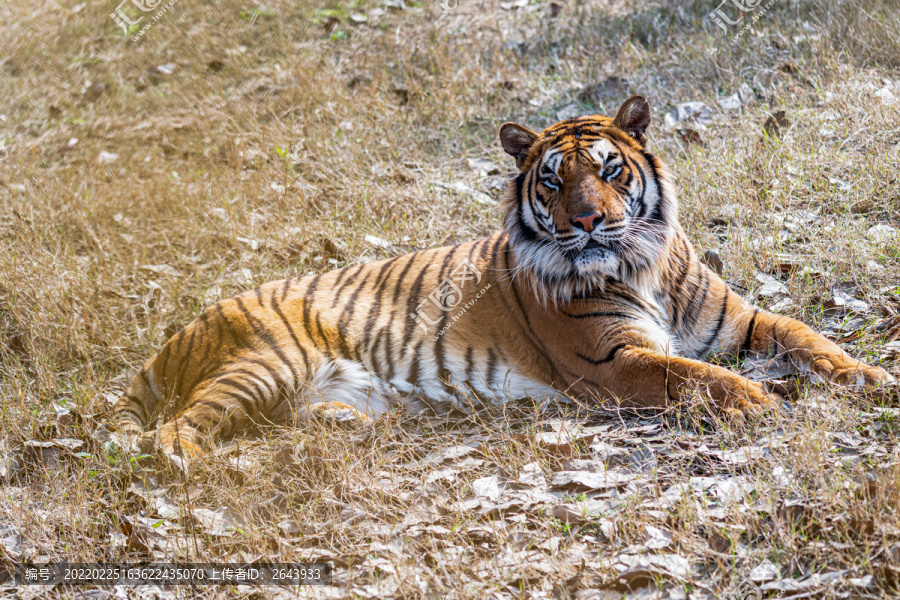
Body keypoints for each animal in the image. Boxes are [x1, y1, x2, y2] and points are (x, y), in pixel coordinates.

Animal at [110, 95, 892, 464]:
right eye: (553, 181)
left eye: (610, 170)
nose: (587, 221)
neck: (642, 261)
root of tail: (189, 325)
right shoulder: (613, 363)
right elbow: (695, 376)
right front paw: (761, 401)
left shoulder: (738, 321)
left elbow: (807, 334)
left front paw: (872, 378)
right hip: (264, 364)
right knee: (174, 431)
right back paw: (202, 467)